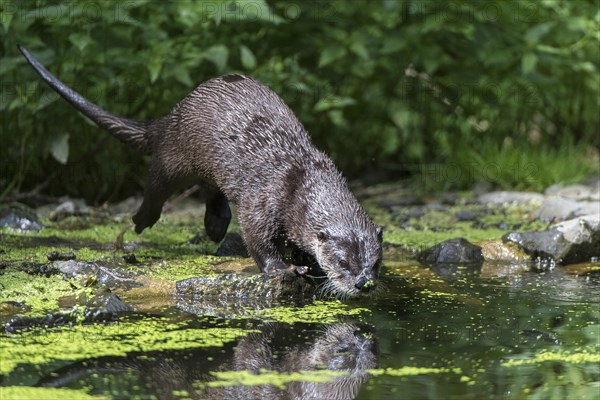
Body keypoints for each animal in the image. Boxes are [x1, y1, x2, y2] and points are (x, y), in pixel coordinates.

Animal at [21, 47, 384, 296]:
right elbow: (257, 239)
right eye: (343, 262)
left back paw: (215, 225)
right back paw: (140, 221)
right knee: (155, 190)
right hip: (172, 159)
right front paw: (285, 268)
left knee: (213, 189)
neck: (302, 181)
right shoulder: (264, 199)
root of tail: (172, 117)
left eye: (376, 262)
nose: (363, 283)